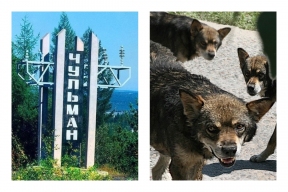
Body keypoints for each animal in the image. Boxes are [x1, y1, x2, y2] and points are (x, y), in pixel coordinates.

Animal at [151, 41, 274, 180]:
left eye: (240, 126)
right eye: (211, 128)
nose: (230, 150)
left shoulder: (196, 164)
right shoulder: (180, 167)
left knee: (156, 170)